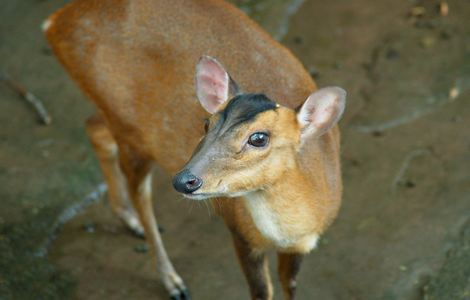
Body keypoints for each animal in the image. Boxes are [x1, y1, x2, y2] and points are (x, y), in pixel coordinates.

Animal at [44, 0, 346, 300]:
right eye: (206, 123)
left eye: (259, 138)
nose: (184, 180)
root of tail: (55, 22)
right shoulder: (240, 232)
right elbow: (262, 291)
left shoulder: (302, 244)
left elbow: (289, 285)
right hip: (129, 129)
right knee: (140, 193)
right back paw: (171, 278)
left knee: (93, 128)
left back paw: (128, 218)